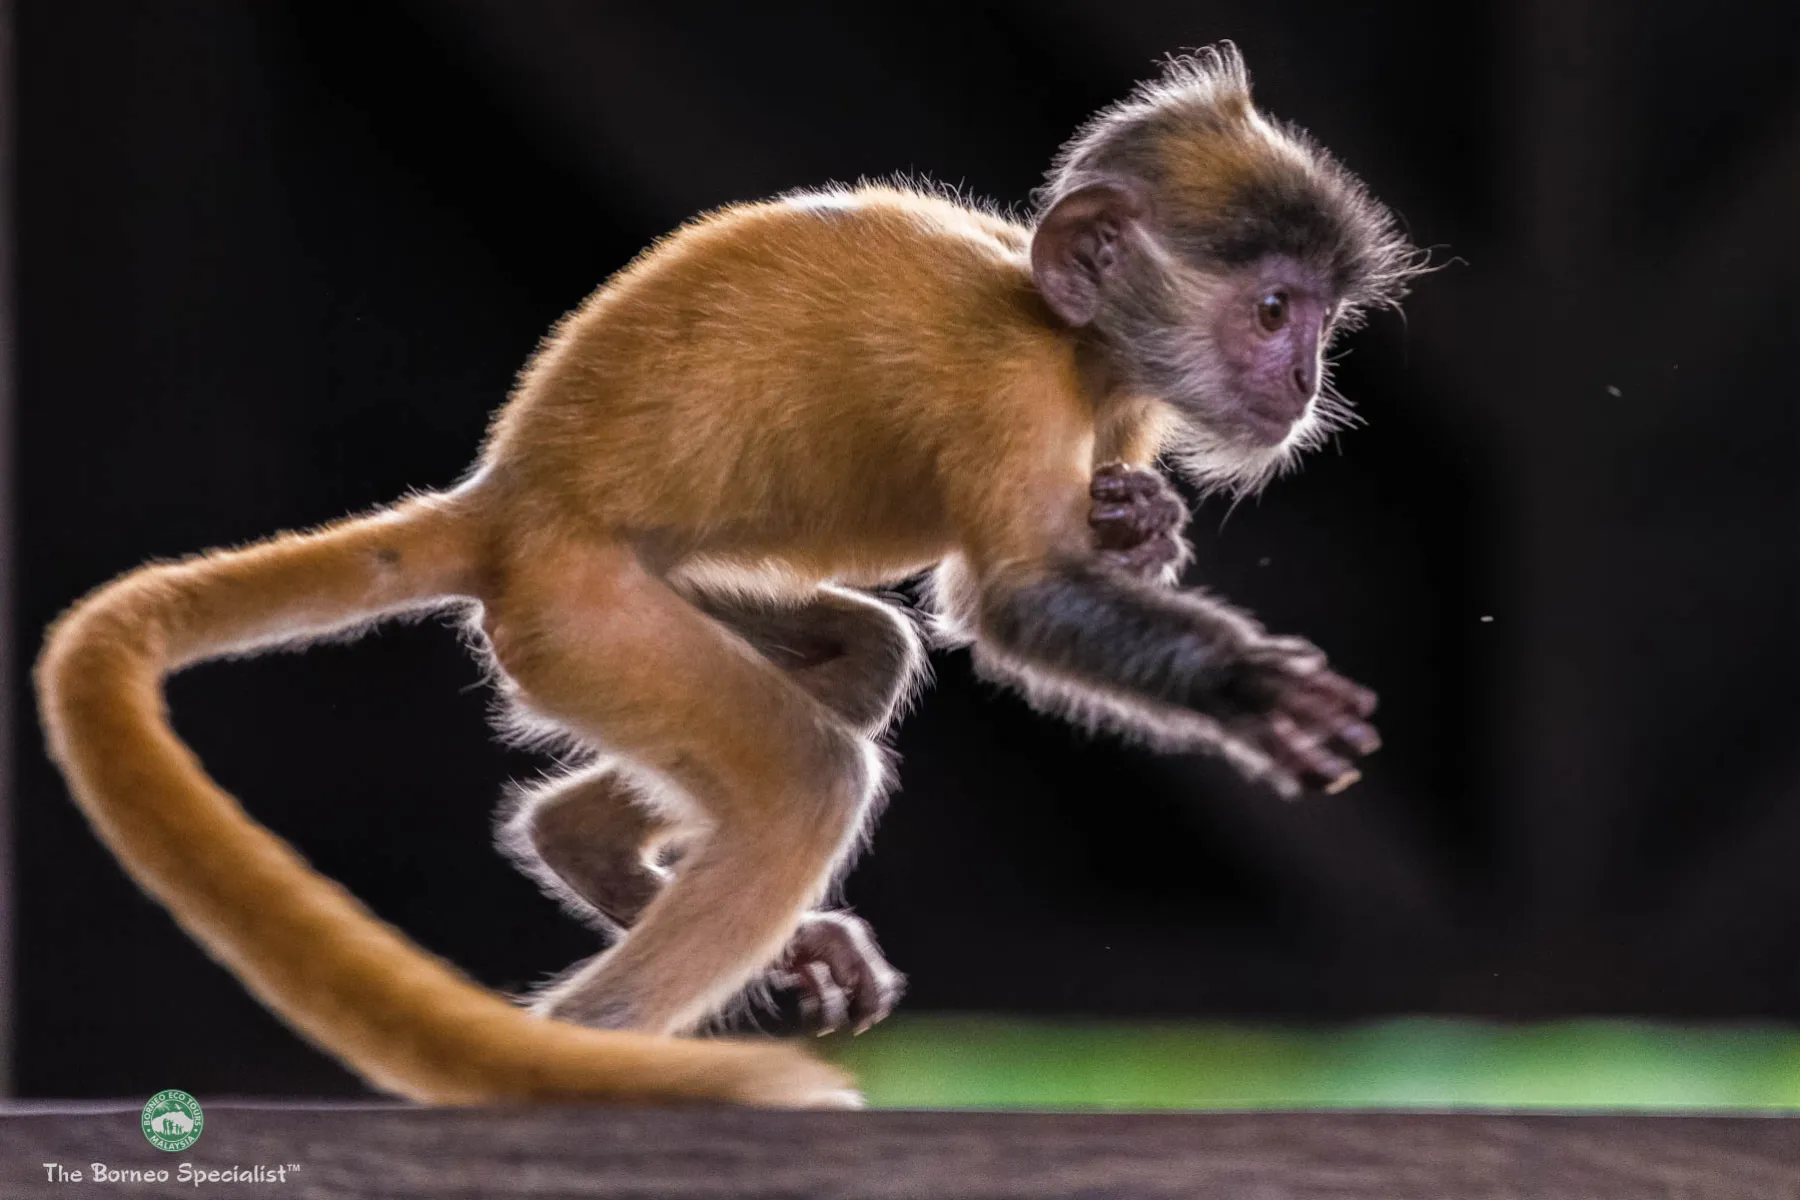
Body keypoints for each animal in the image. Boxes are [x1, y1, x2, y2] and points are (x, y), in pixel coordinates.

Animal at [34, 44, 1423, 1108]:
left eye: (1322, 319)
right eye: (1273, 310)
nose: (1305, 378)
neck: (1070, 340)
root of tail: (512, 497)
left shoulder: (1120, 408)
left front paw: (1144, 525)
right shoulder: (1007, 384)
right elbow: (1018, 603)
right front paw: (1249, 692)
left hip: (618, 603)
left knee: (863, 656)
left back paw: (589, 843)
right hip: (580, 612)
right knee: (810, 773)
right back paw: (589, 1060)